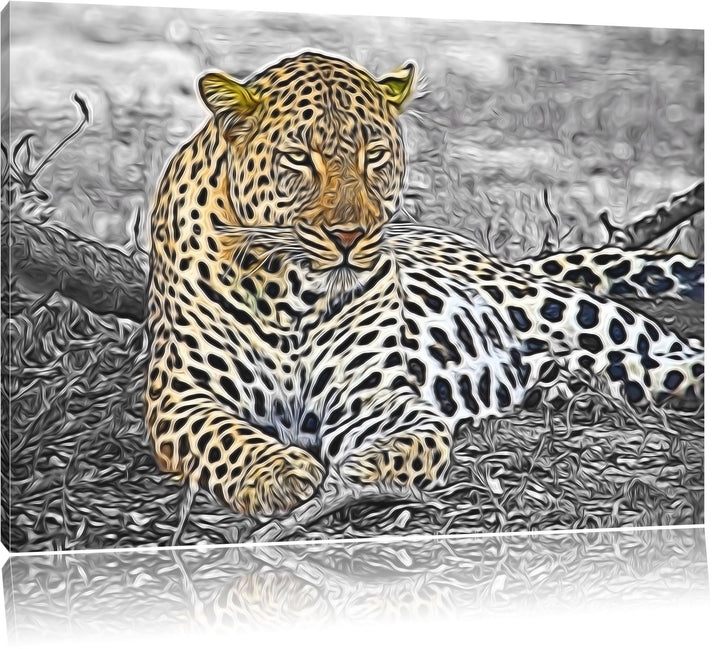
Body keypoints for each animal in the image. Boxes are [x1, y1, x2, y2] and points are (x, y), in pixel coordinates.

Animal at [144, 51, 704, 520]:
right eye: (299, 158)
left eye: (373, 156)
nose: (349, 235)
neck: (292, 293)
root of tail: (495, 258)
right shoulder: (178, 395)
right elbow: (222, 435)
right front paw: (277, 473)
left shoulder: (376, 396)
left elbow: (423, 436)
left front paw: (367, 468)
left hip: (567, 310)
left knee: (675, 352)